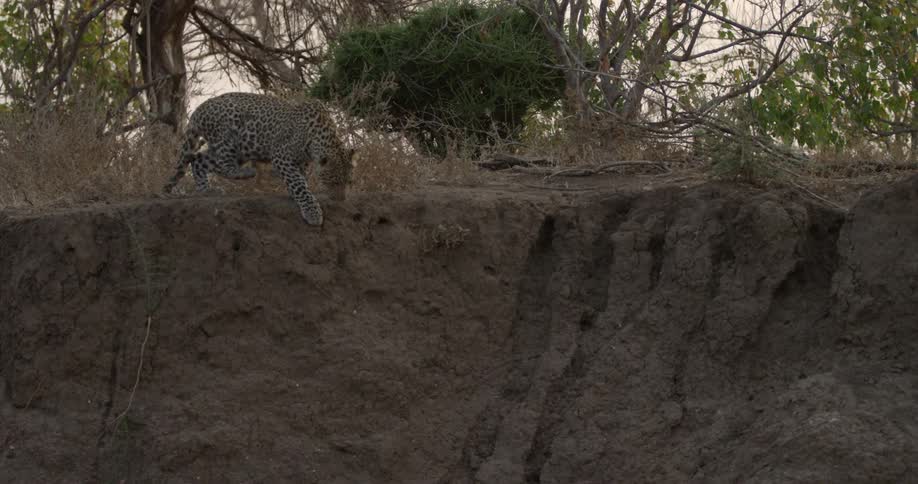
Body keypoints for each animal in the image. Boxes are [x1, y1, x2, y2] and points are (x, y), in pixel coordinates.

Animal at [162, 92, 354, 226]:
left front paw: (294, 194)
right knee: (224, 163)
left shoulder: (301, 162)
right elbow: (298, 185)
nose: (341, 200)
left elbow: (299, 181)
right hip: (228, 137)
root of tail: (199, 110)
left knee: (199, 160)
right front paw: (312, 212)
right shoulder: (281, 157)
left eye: (348, 182)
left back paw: (207, 190)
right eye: (334, 181)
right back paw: (246, 173)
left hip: (240, 149)